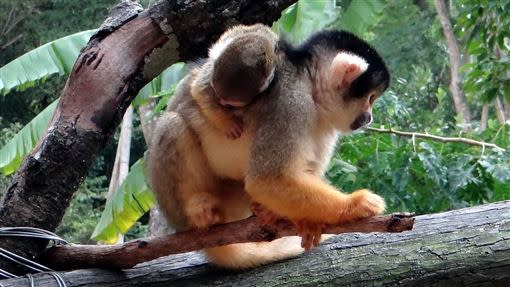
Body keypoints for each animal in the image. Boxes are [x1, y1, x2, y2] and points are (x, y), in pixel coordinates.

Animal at [147, 24, 390, 270]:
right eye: (370, 98)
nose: (369, 117)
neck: (310, 89)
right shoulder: (290, 103)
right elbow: (268, 180)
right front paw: (355, 204)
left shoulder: (325, 125)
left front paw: (305, 220)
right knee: (173, 124)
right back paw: (197, 209)